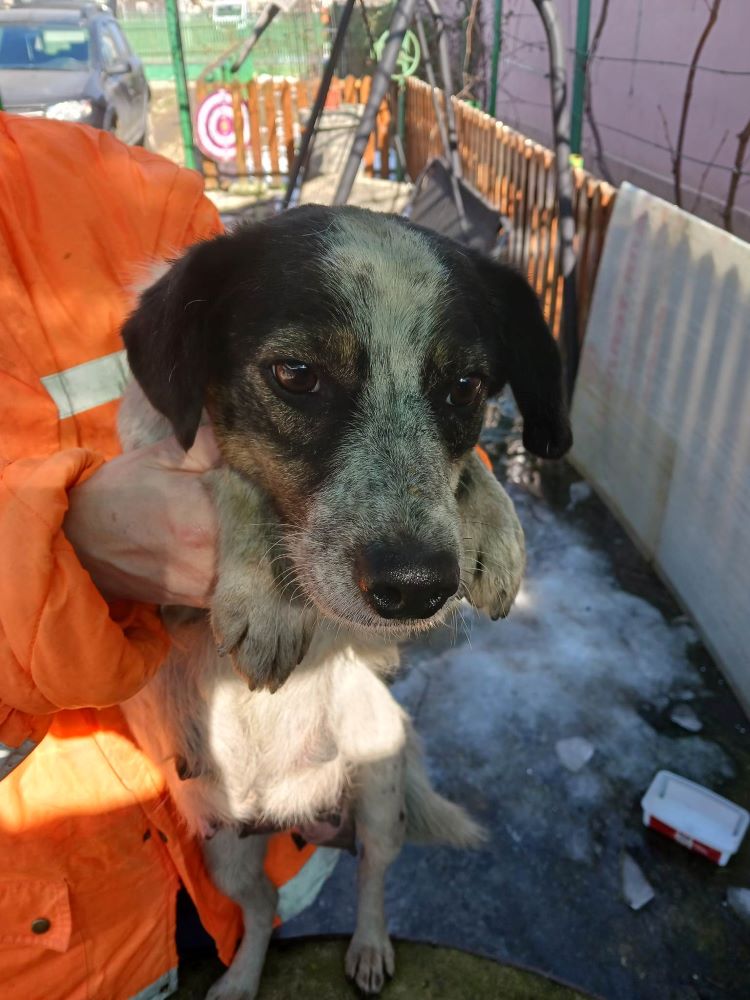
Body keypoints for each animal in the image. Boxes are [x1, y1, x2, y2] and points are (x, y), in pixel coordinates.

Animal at [120, 205, 572, 1000]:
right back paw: (240, 979)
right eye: (296, 374)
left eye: (465, 386)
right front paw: (268, 600)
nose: (417, 588)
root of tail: (286, 813)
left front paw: (496, 526)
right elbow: (230, 476)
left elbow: (464, 475)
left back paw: (367, 947)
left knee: (372, 878)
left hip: (380, 793)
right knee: (262, 910)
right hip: (224, 852)